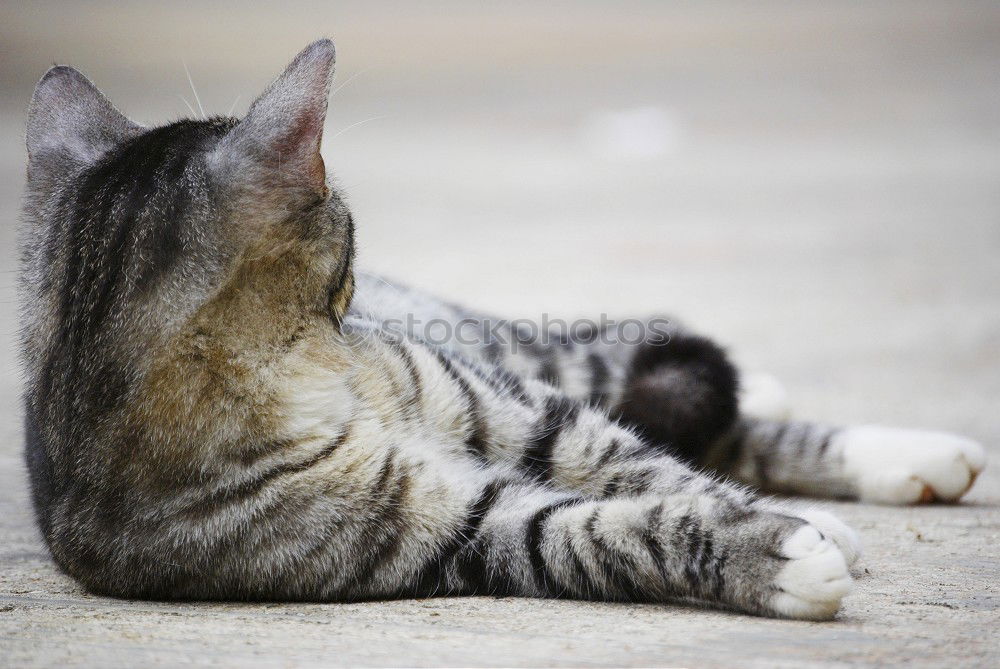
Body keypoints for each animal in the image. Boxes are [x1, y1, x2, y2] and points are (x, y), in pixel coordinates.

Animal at [19, 39, 988, 620]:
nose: (359, 281)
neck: (321, 375)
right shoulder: (455, 530)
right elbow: (602, 530)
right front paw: (778, 551)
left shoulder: (520, 410)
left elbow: (643, 464)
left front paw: (789, 519)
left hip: (504, 352)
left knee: (667, 396)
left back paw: (894, 445)